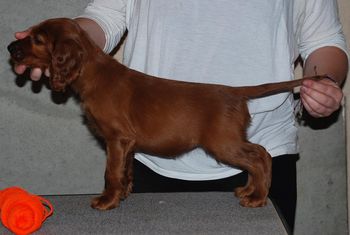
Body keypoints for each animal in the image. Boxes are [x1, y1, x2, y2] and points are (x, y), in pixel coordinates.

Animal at [7, 17, 326, 209]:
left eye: (37, 39)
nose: (10, 46)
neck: (92, 72)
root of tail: (235, 92)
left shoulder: (117, 139)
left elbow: (110, 171)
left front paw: (107, 200)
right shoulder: (128, 143)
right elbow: (125, 170)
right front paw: (123, 194)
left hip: (222, 142)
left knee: (261, 155)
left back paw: (257, 197)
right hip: (228, 141)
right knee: (257, 156)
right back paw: (249, 191)